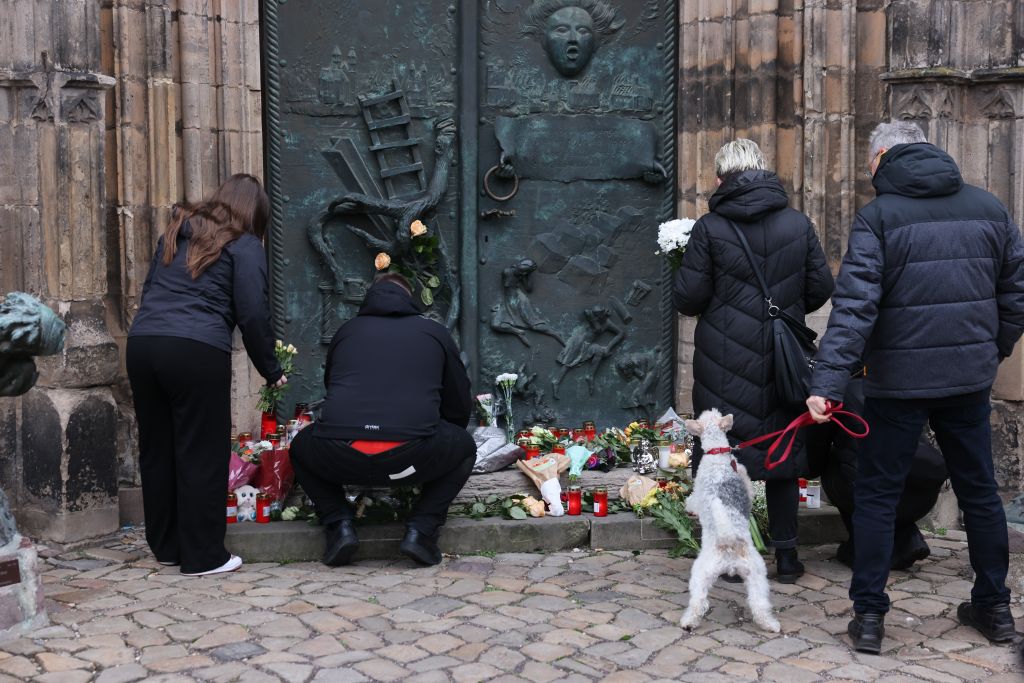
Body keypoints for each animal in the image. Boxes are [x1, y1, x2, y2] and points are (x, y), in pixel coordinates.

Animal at [684, 409, 778, 634]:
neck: (717, 453)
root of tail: (730, 542)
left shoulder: (699, 492)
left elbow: (692, 500)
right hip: (757, 575)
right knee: (760, 604)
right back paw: (771, 625)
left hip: (700, 572)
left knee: (697, 602)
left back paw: (688, 622)